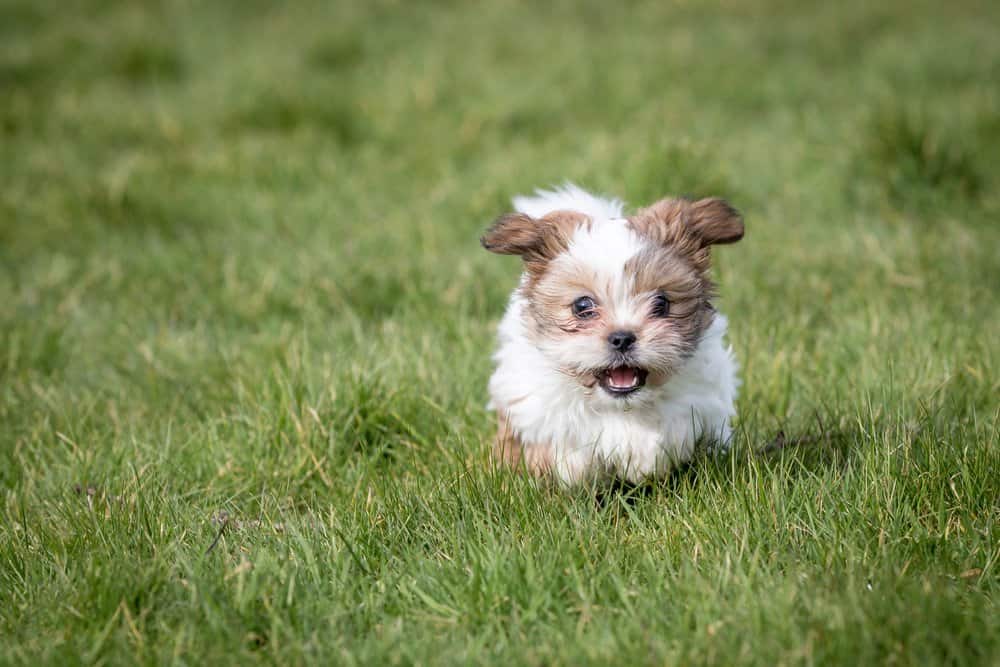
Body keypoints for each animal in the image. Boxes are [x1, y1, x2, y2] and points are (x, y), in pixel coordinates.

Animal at [480, 183, 748, 486]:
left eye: (661, 303)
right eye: (582, 306)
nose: (622, 338)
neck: (620, 406)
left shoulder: (702, 399)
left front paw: (645, 455)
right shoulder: (531, 401)